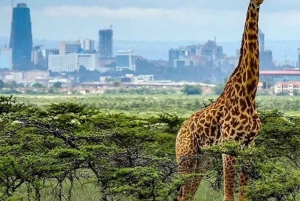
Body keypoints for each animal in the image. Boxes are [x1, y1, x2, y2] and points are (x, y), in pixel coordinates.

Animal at [176, 0, 264, 200]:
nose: (260, 1)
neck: (249, 92)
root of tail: (179, 131)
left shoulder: (249, 146)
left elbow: (243, 196)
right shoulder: (228, 146)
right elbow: (228, 195)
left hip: (203, 159)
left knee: (188, 195)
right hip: (186, 157)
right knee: (183, 195)